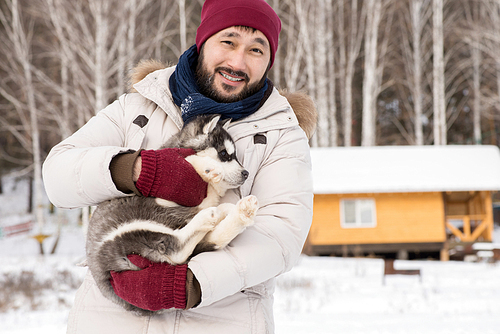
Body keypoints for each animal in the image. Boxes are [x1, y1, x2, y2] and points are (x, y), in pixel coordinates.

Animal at [86, 115, 258, 316]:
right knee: (177, 249)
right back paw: (212, 214)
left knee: (206, 240)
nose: (246, 173)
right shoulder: (161, 195)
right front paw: (208, 168)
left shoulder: (203, 200)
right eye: (224, 154)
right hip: (126, 230)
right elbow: (187, 161)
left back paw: (239, 211)